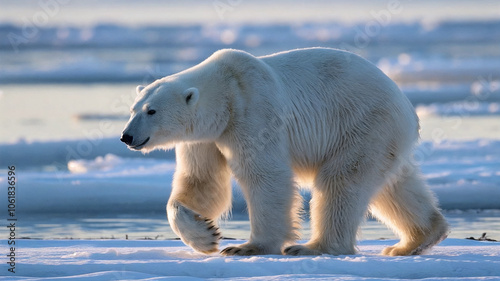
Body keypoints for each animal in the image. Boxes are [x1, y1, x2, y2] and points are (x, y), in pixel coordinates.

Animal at [122, 47, 450, 255]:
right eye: (133, 109)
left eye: (151, 111)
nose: (126, 136)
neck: (226, 90)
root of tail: (406, 105)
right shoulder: (205, 138)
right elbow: (202, 181)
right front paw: (205, 235)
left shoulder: (253, 112)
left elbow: (266, 176)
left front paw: (245, 247)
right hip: (382, 137)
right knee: (394, 186)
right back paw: (414, 241)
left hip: (362, 123)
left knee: (341, 181)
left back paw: (312, 247)